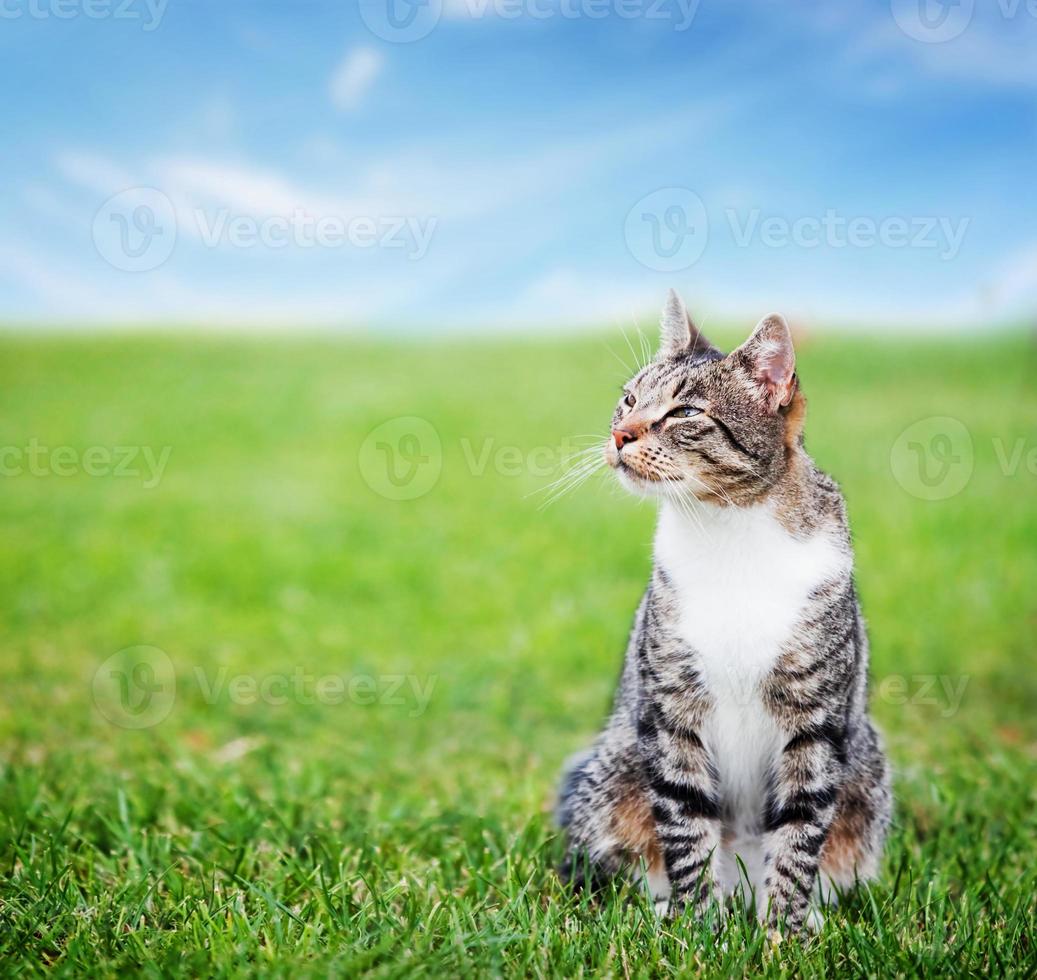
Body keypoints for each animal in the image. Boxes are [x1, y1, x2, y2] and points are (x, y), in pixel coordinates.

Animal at [559, 288, 891, 933]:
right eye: (629, 399)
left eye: (685, 412)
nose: (620, 435)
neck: (725, 528)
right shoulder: (671, 709)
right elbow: (686, 824)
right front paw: (695, 928)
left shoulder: (815, 721)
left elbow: (799, 834)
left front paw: (783, 933)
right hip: (612, 776)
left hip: (866, 786)